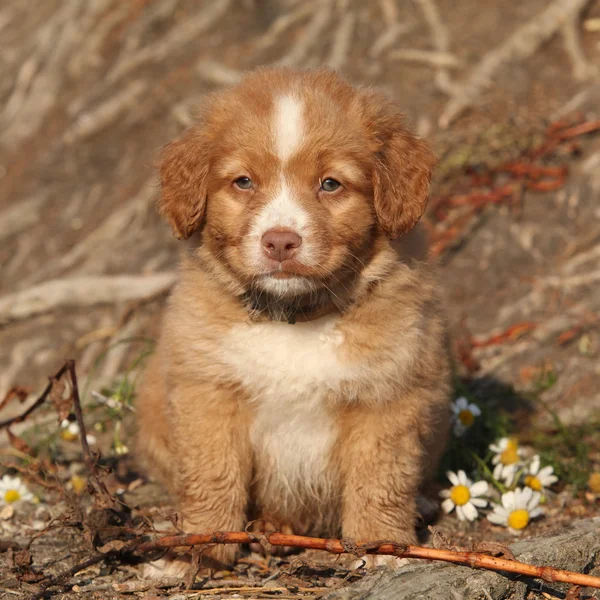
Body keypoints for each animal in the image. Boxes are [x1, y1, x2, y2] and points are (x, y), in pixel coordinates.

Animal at [137, 65, 450, 572]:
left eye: (331, 184)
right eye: (243, 182)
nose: (280, 241)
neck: (294, 319)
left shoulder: (388, 395)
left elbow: (380, 480)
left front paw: (383, 546)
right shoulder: (208, 393)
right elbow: (211, 476)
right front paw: (199, 546)